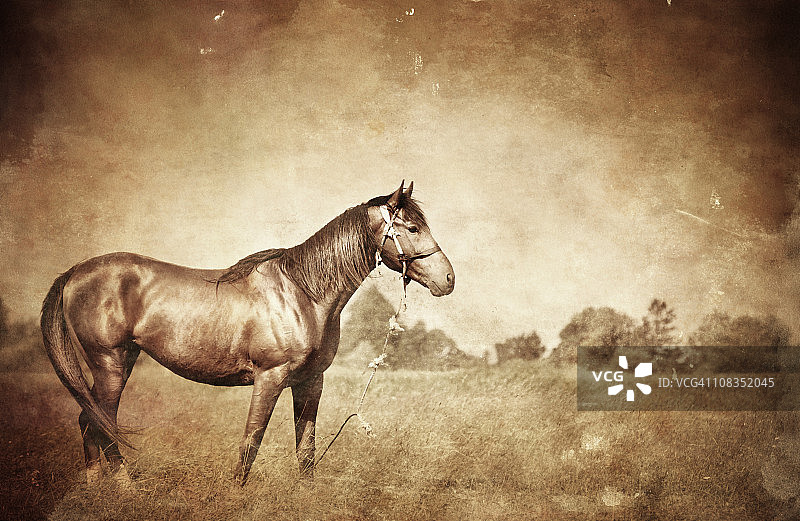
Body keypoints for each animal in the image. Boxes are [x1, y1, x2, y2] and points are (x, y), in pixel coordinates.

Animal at [40, 181, 454, 486]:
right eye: (413, 228)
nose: (448, 279)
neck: (302, 292)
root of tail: (75, 273)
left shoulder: (310, 383)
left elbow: (306, 451)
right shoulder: (269, 379)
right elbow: (251, 443)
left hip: (121, 362)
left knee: (89, 421)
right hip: (110, 363)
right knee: (102, 423)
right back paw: (127, 489)